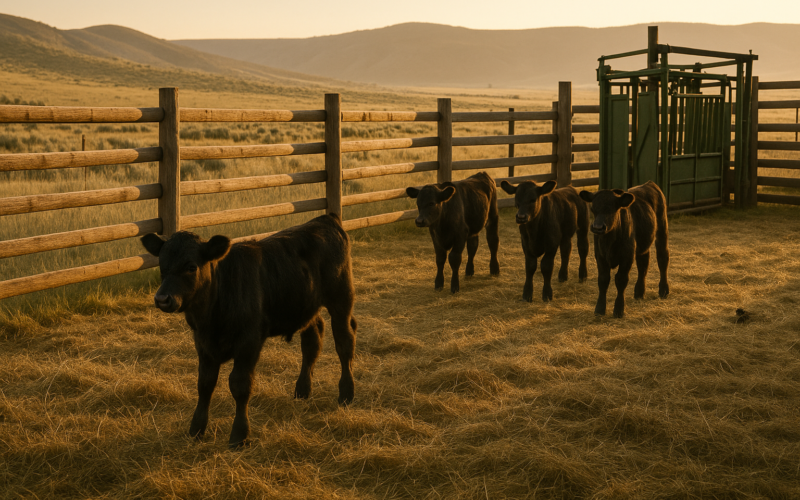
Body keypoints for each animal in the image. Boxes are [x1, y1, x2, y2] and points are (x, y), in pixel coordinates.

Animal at [140, 213, 357, 448]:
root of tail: (325, 218)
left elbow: (240, 385)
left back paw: (346, 393)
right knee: (312, 341)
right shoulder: (203, 344)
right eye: (161, 265)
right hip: (305, 305)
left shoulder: (249, 342)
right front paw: (196, 429)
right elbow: (205, 384)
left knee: (344, 341)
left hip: (341, 298)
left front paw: (239, 435)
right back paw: (302, 390)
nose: (162, 299)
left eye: (191, 266)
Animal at [579, 181, 670, 318]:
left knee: (662, 258)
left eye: (613, 209)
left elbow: (621, 280)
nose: (598, 227)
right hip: (642, 244)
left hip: (662, 229)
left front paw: (618, 309)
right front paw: (599, 309)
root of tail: (649, 184)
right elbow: (603, 280)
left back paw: (664, 290)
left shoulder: (627, 257)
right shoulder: (600, 256)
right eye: (593, 209)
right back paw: (639, 292)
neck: (609, 241)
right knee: (643, 264)